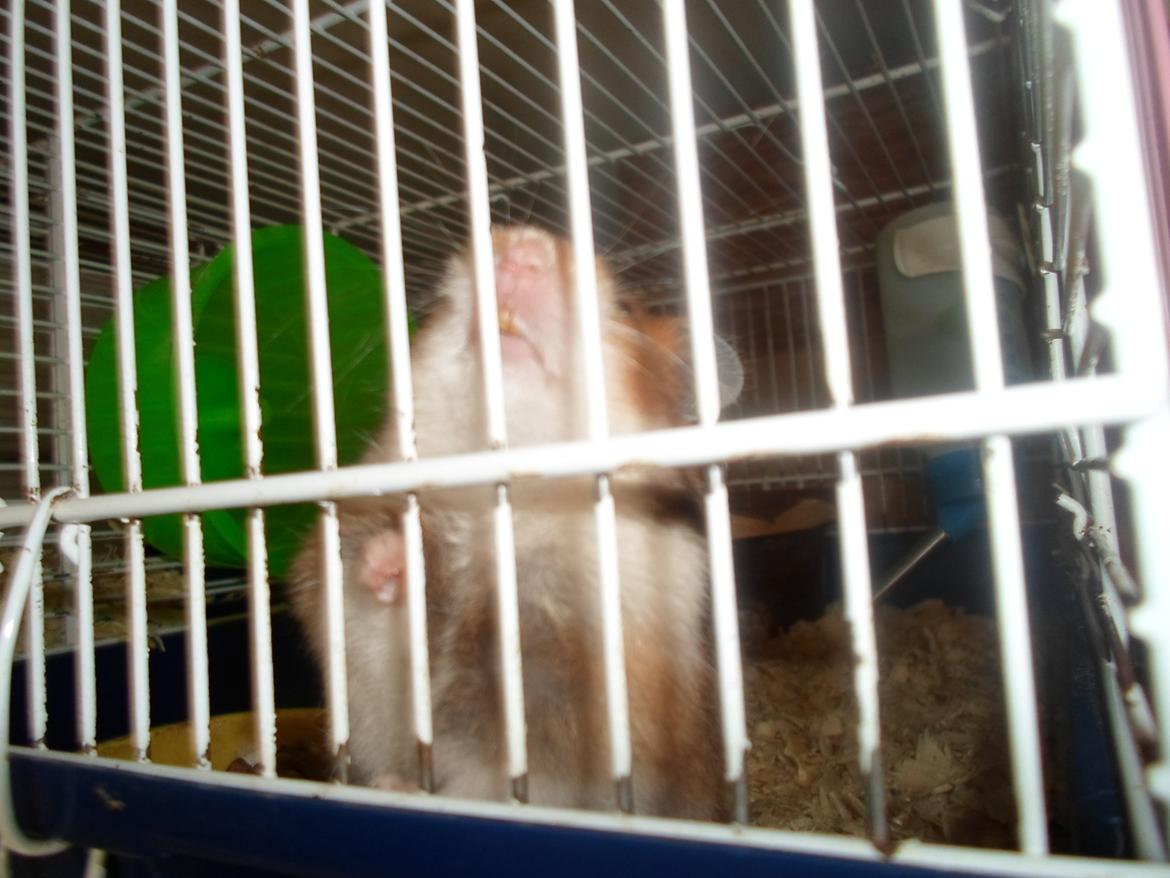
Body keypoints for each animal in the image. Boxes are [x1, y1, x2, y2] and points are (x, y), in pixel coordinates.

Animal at [289, 225, 728, 820]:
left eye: (628, 307)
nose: (522, 245)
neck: (503, 495)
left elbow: (499, 784)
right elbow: (376, 600)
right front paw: (395, 559)